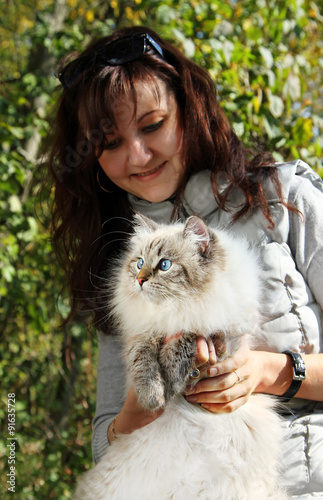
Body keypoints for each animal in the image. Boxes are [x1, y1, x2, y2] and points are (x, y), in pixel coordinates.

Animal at [74, 214, 288, 500]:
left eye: (164, 265)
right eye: (139, 263)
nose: (139, 280)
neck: (173, 310)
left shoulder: (218, 336)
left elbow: (188, 338)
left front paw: (172, 377)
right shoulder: (142, 334)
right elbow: (143, 363)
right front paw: (153, 397)